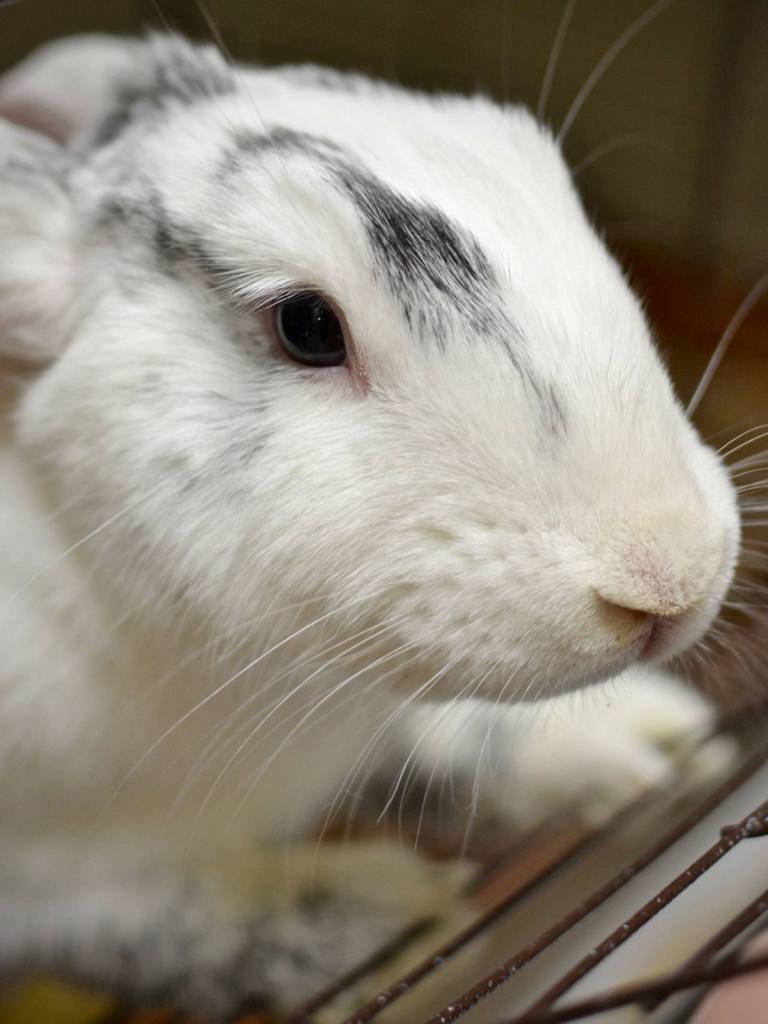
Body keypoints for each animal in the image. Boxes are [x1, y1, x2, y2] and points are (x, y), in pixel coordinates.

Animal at [0, 32, 742, 1019]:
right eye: (308, 324)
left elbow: (444, 738)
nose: (670, 581)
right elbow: (172, 917)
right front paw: (402, 920)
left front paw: (652, 746)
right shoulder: (53, 887)